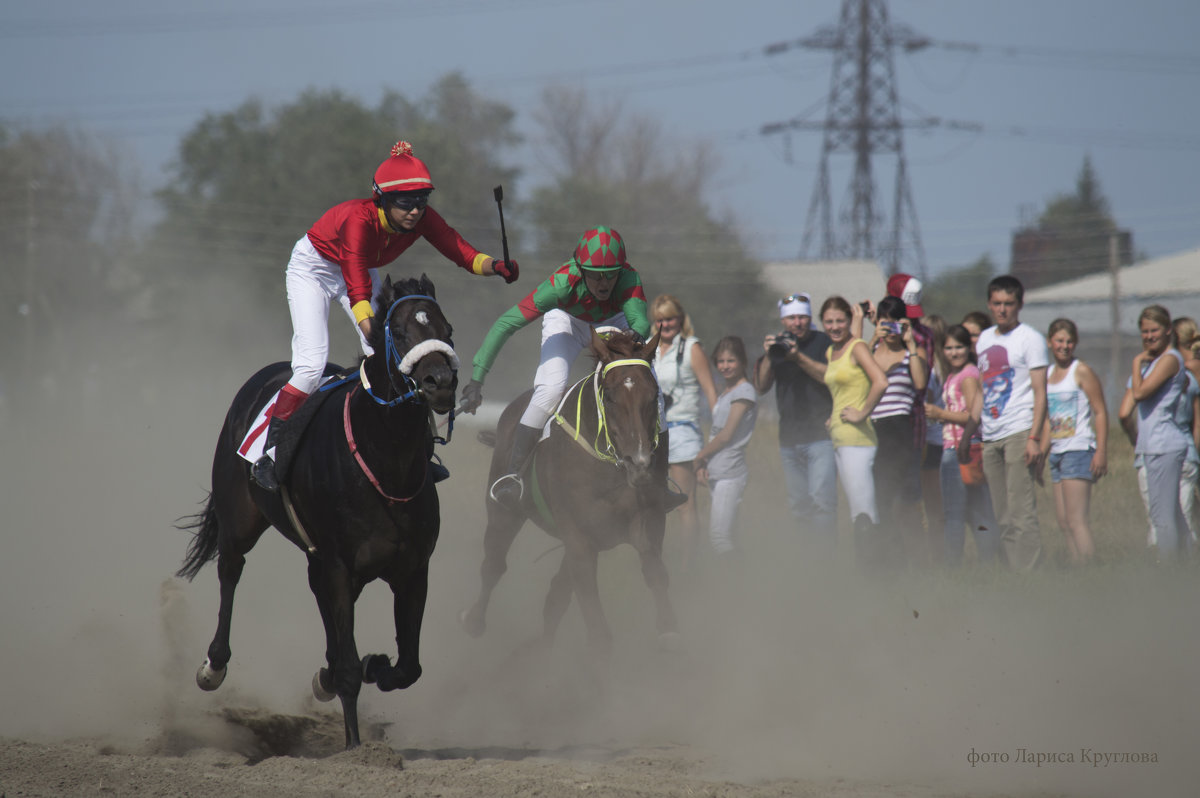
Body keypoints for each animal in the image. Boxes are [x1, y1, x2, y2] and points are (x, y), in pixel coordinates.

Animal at [175, 272, 456, 748]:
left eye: (447, 330)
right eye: (399, 334)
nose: (441, 382)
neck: (385, 462)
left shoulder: (413, 569)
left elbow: (408, 667)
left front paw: (373, 665)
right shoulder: (340, 566)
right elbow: (349, 669)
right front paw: (355, 747)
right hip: (240, 521)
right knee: (230, 571)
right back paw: (213, 666)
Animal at [458, 326, 681, 657]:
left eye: (654, 396)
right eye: (610, 396)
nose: (639, 462)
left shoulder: (645, 518)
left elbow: (655, 570)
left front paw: (668, 631)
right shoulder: (577, 534)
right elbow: (595, 622)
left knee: (555, 593)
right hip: (503, 511)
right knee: (494, 564)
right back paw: (473, 620)